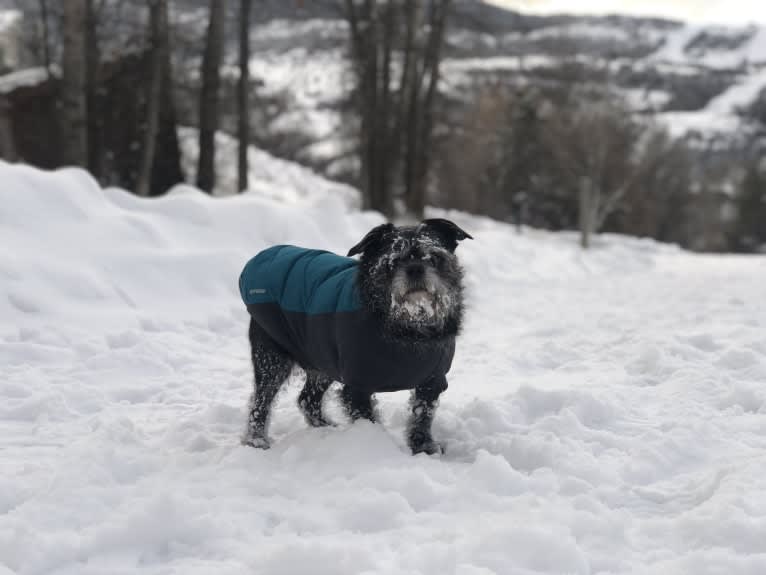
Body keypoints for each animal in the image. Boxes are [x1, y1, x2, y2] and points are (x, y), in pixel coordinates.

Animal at [237, 218, 472, 456]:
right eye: (392, 262)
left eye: (433, 257)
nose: (415, 269)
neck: (410, 329)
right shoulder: (357, 386)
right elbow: (368, 419)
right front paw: (377, 446)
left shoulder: (431, 381)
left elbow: (422, 414)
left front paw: (423, 446)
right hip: (273, 360)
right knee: (261, 401)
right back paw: (256, 439)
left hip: (323, 361)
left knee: (307, 399)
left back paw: (325, 428)